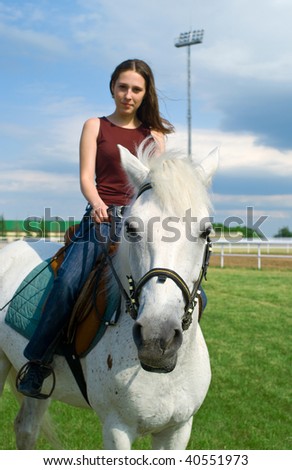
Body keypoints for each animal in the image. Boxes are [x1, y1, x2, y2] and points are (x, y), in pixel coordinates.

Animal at [0, 142, 218, 448]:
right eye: (131, 228)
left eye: (206, 231)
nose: (157, 339)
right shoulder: (117, 428)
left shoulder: (178, 429)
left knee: (26, 429)